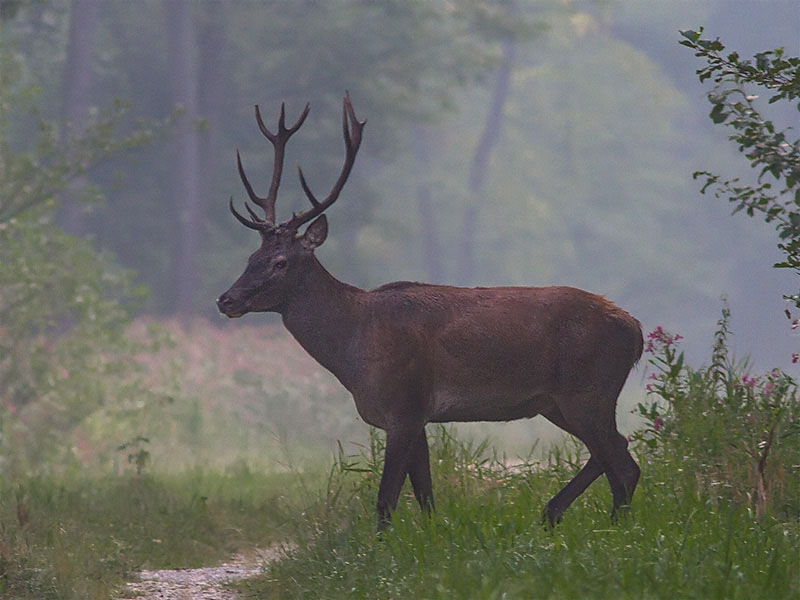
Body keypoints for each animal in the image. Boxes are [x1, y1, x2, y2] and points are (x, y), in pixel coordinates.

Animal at [217, 95, 644, 528]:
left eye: (281, 262)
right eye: (252, 257)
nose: (226, 300)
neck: (353, 351)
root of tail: (636, 331)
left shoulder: (404, 405)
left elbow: (386, 499)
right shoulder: (418, 416)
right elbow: (425, 495)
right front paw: (435, 534)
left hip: (589, 390)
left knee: (623, 462)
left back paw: (606, 525)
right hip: (559, 402)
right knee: (613, 454)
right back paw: (558, 513)